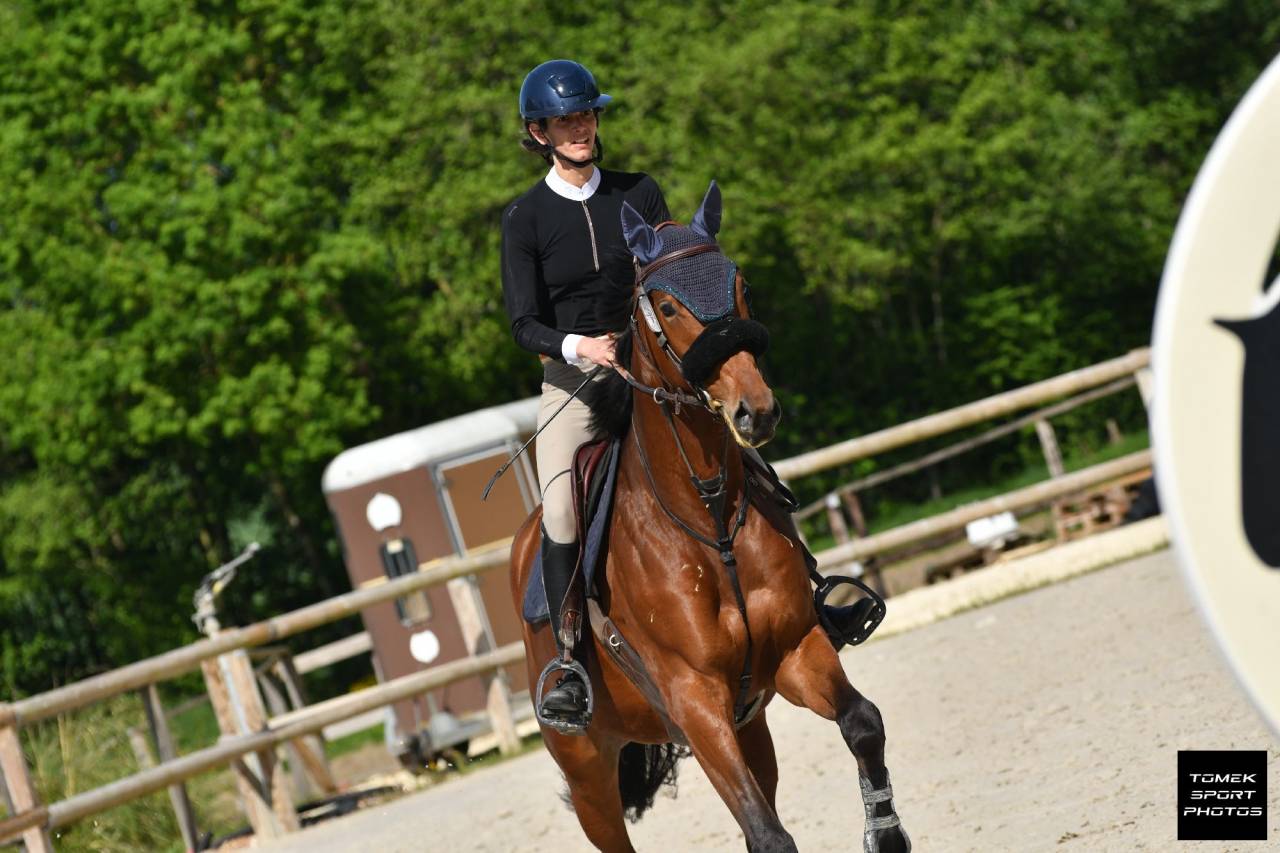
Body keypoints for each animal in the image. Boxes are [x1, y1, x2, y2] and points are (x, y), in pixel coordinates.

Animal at [508, 181, 910, 853]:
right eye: (668, 307)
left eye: (739, 285)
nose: (757, 411)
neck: (708, 516)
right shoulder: (693, 699)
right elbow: (769, 834)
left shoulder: (794, 653)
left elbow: (862, 722)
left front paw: (886, 834)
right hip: (588, 771)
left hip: (750, 726)